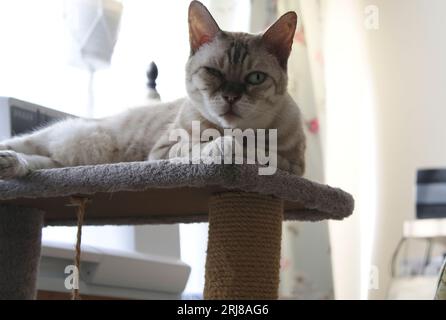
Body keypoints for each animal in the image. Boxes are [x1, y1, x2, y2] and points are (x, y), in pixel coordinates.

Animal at [0, 0, 304, 179]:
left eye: (255, 78)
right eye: (214, 72)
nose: (231, 97)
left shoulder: (293, 166)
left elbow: (253, 150)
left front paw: (236, 146)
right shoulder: (163, 151)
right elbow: (210, 145)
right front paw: (224, 145)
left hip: (61, 163)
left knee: (36, 163)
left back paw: (11, 165)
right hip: (54, 139)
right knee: (21, 145)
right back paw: (8, 158)